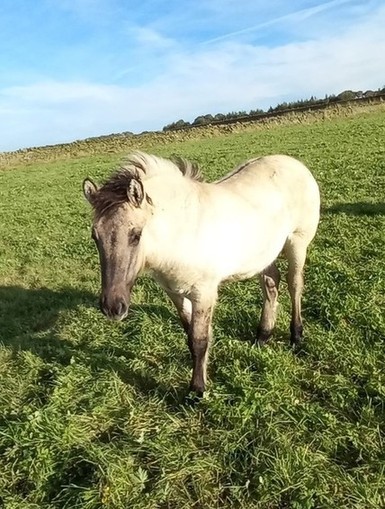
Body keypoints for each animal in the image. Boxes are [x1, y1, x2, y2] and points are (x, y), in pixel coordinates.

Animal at [82, 153, 320, 394]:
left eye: (136, 234)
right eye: (95, 237)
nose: (113, 307)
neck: (182, 229)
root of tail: (294, 163)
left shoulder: (203, 293)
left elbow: (199, 340)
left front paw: (196, 390)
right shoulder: (175, 292)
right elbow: (189, 333)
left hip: (297, 242)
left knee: (294, 284)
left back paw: (296, 336)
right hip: (263, 254)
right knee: (271, 284)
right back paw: (262, 337)